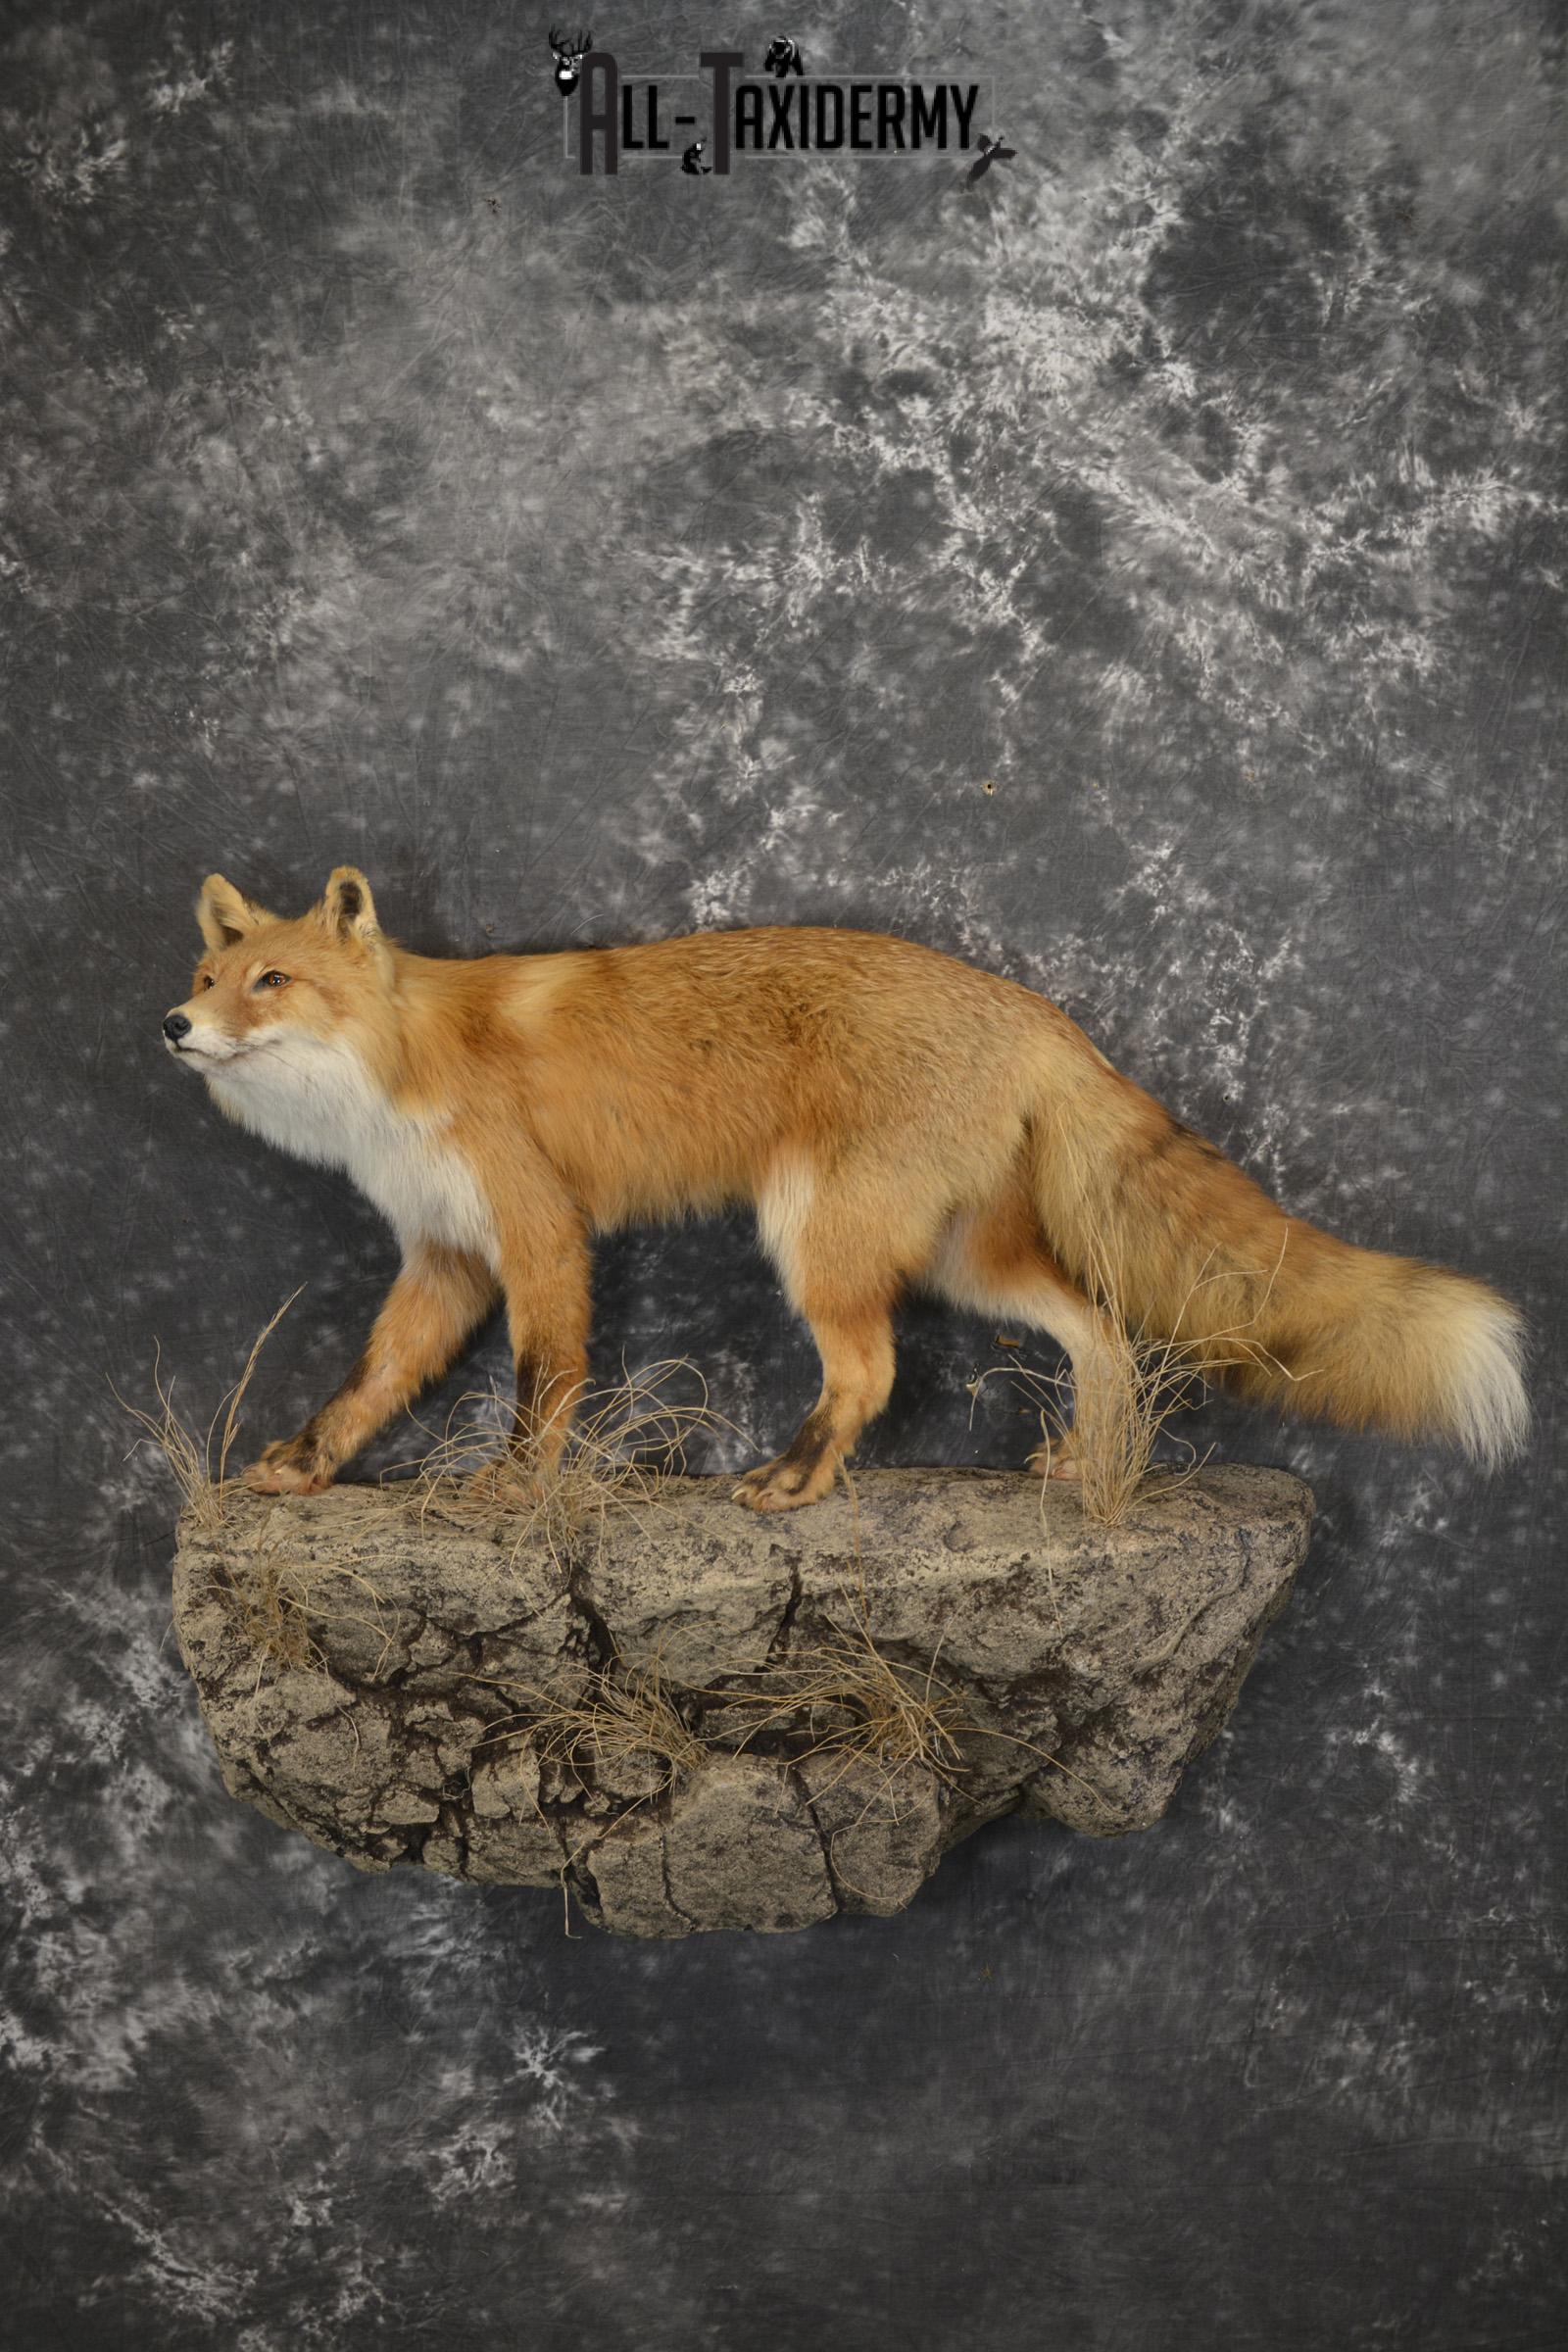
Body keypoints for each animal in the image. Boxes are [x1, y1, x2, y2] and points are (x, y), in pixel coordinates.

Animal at [160, 866, 1529, 1512]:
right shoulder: (442, 1254)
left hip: (817, 1238)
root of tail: (1032, 1010)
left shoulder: (538, 1234)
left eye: (273, 982)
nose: (173, 1025)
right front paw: (305, 1466)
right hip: (966, 1260)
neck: (399, 1071)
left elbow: (544, 1383)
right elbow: (369, 1381)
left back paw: (796, 1482)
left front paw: (513, 1494)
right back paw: (1086, 1468)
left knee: (869, 1371)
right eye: (207, 974)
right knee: (1101, 1335)